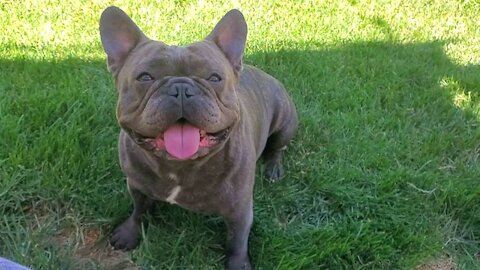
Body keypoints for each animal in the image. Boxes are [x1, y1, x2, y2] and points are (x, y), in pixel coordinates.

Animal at [100, 6, 298, 270]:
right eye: (145, 77)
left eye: (214, 78)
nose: (181, 88)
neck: (179, 167)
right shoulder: (137, 185)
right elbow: (139, 210)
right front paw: (130, 233)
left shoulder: (240, 209)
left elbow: (237, 240)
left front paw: (238, 263)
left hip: (285, 122)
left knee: (277, 147)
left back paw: (273, 169)